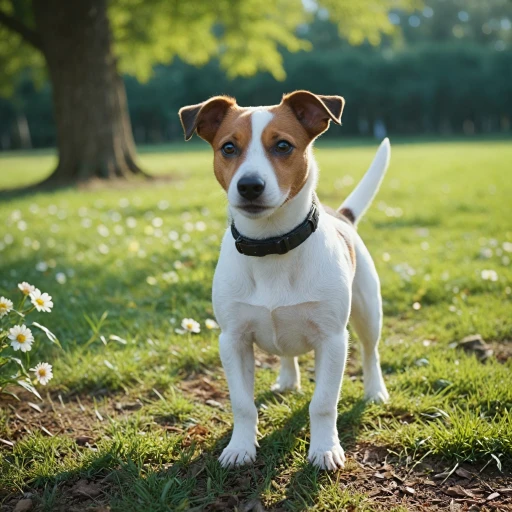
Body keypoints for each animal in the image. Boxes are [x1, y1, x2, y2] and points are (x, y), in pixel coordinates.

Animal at [178, 93, 390, 472]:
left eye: (282, 146)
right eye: (228, 147)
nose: (249, 185)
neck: (271, 245)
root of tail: (342, 217)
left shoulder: (333, 340)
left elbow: (323, 403)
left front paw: (324, 449)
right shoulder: (232, 340)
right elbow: (242, 404)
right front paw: (240, 447)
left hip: (368, 311)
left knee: (370, 352)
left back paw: (375, 390)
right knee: (287, 353)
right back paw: (288, 380)